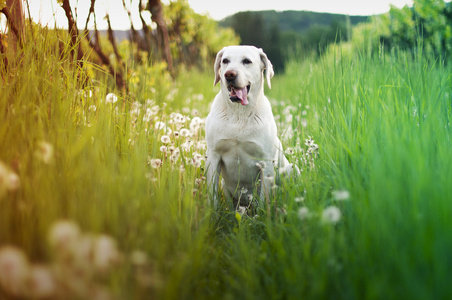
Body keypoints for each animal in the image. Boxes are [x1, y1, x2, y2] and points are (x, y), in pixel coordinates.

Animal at [205, 45, 296, 209]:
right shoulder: (213, 157)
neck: (239, 114)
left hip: (292, 169)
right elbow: (212, 196)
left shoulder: (266, 161)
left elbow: (264, 200)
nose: (229, 75)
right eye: (225, 61)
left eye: (247, 61)